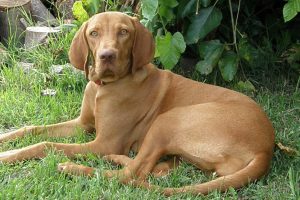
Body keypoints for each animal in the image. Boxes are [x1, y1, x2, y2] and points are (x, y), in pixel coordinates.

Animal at [0, 11, 274, 195]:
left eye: (124, 32)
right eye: (93, 33)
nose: (106, 56)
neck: (104, 86)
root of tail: (266, 148)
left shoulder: (103, 142)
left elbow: (45, 144)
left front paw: (8, 155)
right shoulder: (83, 124)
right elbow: (33, 130)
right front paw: (6, 141)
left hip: (169, 120)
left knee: (130, 174)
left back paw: (74, 168)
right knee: (156, 169)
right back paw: (120, 159)